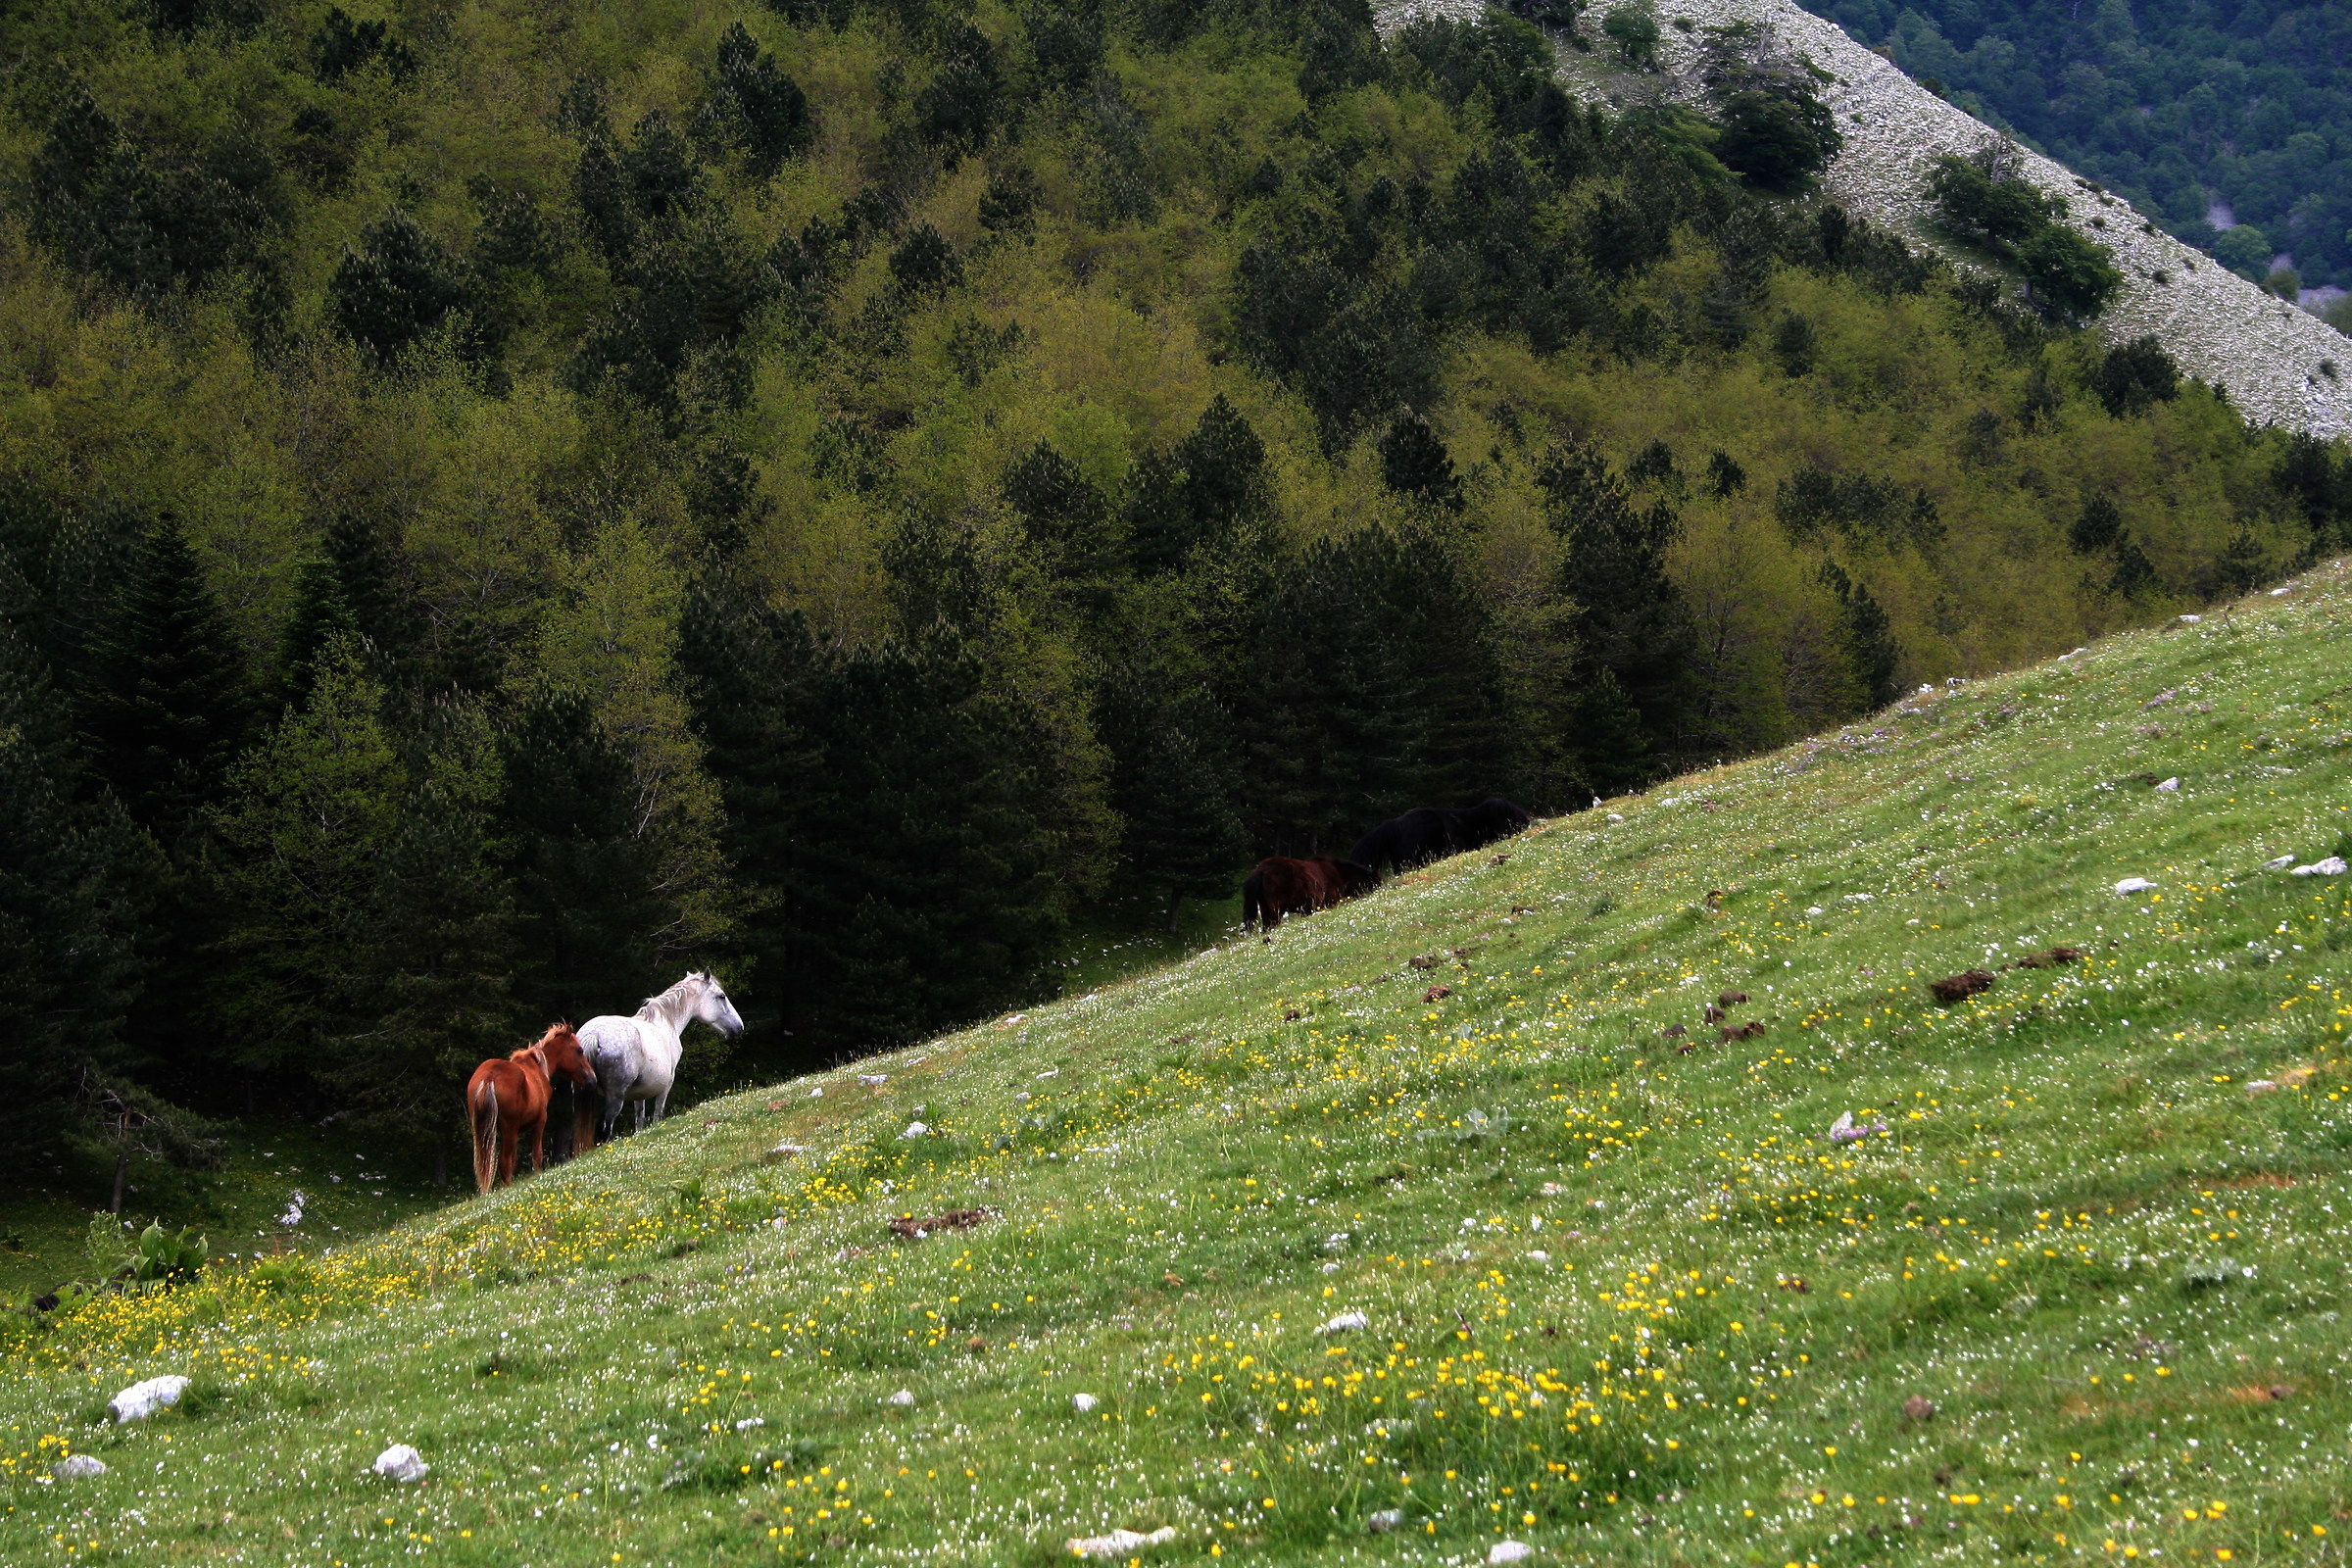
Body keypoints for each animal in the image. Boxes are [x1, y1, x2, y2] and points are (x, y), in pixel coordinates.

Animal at [467, 1024, 598, 1195]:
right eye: (579, 1050)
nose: (593, 1080)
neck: (537, 1068)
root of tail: (490, 1077)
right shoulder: (540, 1121)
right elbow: (536, 1155)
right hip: (509, 1130)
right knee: (504, 1162)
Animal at [573, 972, 745, 1150]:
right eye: (721, 996)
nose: (739, 1027)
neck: (666, 1023)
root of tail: (594, 1035)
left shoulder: (639, 1094)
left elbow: (639, 1120)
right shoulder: (665, 1087)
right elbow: (657, 1115)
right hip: (615, 1098)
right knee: (605, 1130)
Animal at [1240, 856, 1378, 933]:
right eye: (1375, 882)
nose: (1378, 889)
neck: (1340, 874)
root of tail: (1259, 870)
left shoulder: (1307, 909)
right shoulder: (1329, 902)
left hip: (1264, 907)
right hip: (1277, 906)